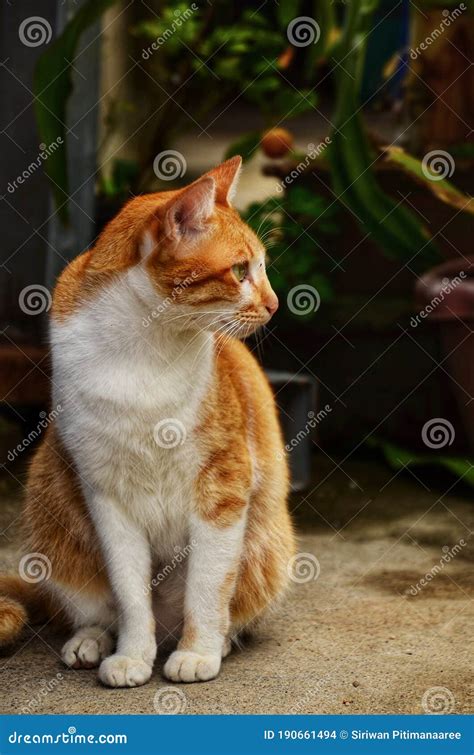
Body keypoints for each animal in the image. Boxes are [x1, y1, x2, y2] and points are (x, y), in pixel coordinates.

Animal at [0, 157, 294, 688]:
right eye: (241, 270)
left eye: (262, 269)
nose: (275, 304)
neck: (144, 344)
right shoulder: (106, 496)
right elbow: (130, 594)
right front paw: (132, 656)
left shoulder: (223, 488)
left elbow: (207, 586)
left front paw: (198, 652)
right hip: (51, 510)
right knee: (98, 609)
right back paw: (92, 641)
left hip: (268, 549)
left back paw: (215, 641)